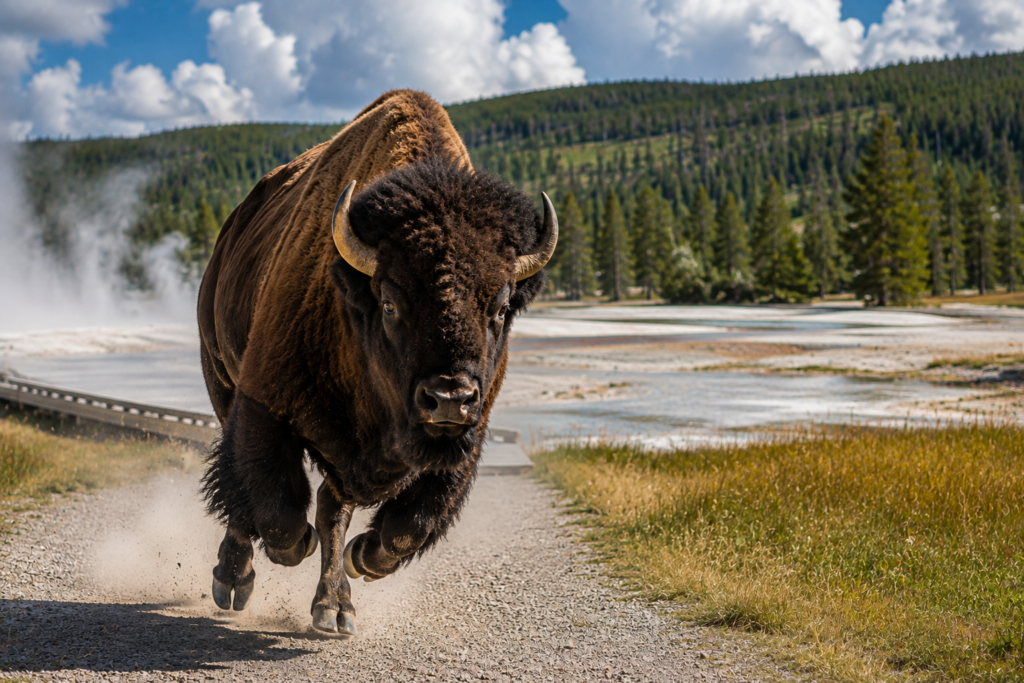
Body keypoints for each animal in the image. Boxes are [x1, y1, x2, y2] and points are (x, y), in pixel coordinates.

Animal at [197, 90, 557, 635]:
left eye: (499, 307)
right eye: (390, 302)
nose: (448, 400)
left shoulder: (465, 442)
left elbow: (410, 523)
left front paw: (362, 557)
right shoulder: (263, 404)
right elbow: (274, 507)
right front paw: (290, 550)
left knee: (332, 508)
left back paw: (334, 607)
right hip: (218, 372)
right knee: (241, 488)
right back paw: (233, 581)